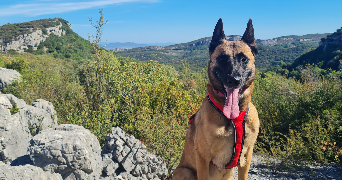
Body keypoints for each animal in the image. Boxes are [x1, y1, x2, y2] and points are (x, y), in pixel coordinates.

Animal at [172, 18, 260, 180]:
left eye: (244, 59)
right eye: (222, 59)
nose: (234, 80)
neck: (233, 119)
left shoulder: (247, 157)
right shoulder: (203, 158)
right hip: (185, 172)